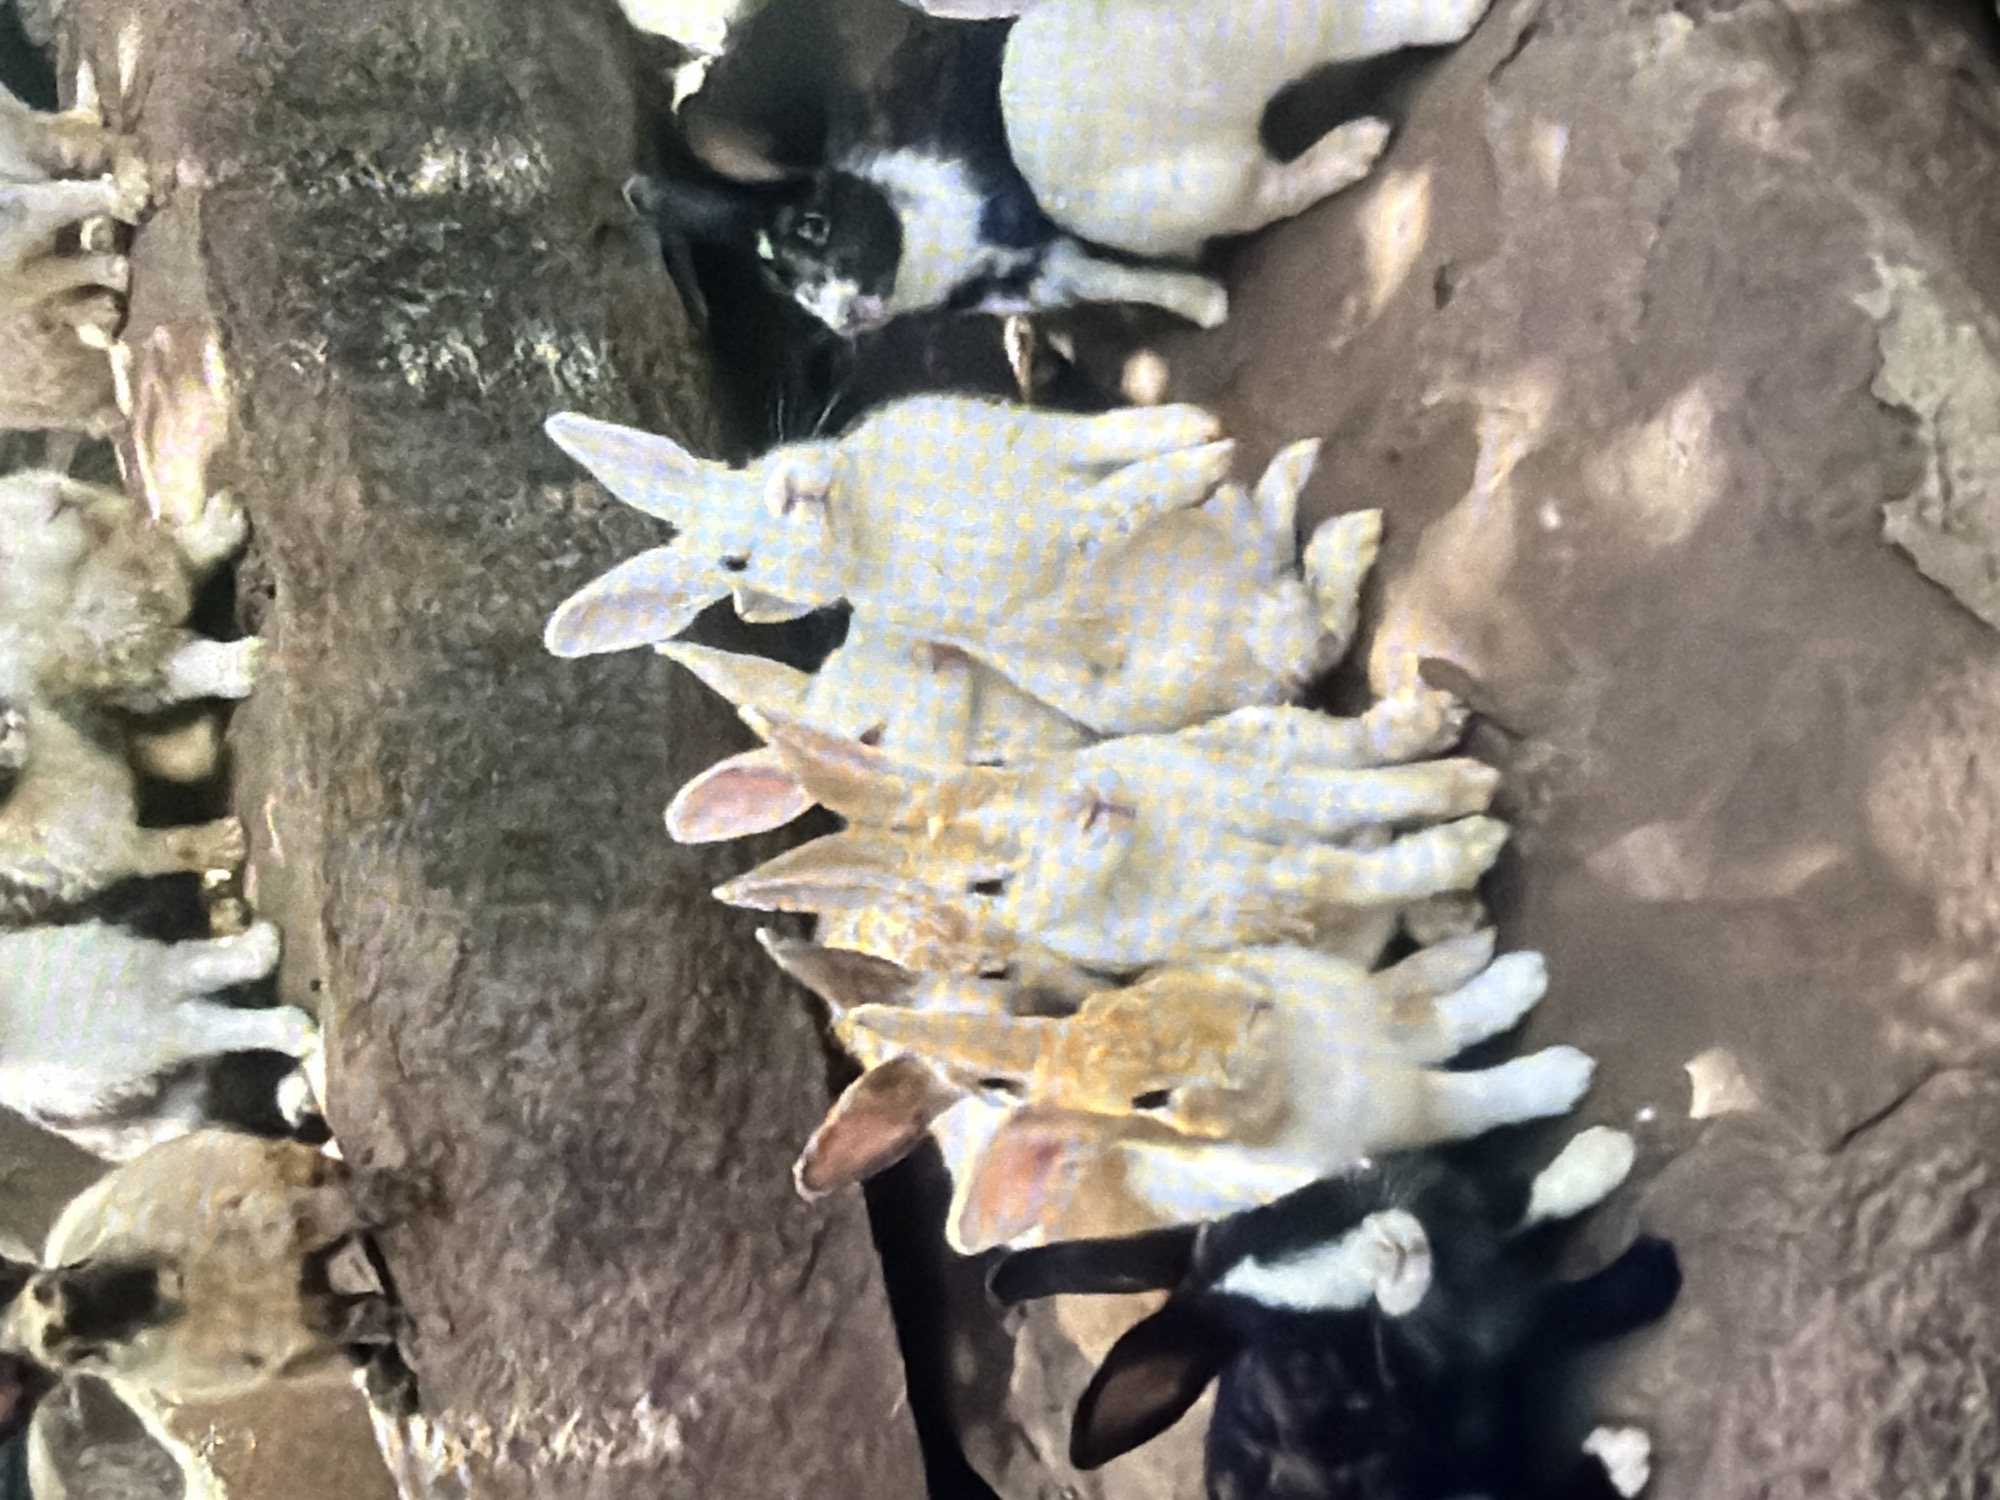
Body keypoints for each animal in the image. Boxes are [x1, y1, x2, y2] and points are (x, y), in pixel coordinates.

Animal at [630, 13, 1229, 337]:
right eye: (777, 278)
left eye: (814, 225)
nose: (842, 318)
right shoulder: (1028, 280)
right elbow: (1102, 279)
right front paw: (1206, 303)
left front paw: (1205, 292)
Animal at [986, 1126, 1682, 1499]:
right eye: (1300, 1354)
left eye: (1262, 1209)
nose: (1388, 1235)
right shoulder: (1474, 1342)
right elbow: (1555, 1315)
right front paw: (1654, 1273)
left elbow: (1518, 1202)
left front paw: (1598, 1157)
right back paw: (1621, 1456)